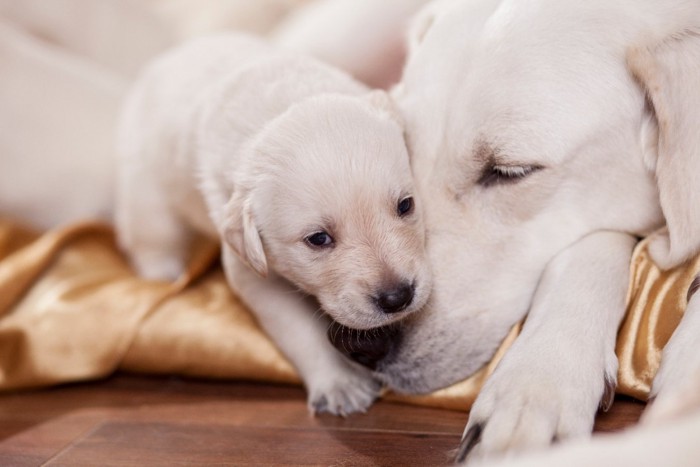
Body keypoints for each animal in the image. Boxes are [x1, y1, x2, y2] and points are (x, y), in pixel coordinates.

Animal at [115, 35, 432, 416]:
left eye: (406, 205)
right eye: (318, 239)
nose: (397, 298)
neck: (281, 104)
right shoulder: (251, 270)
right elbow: (299, 330)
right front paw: (339, 383)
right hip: (146, 188)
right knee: (151, 237)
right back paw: (163, 273)